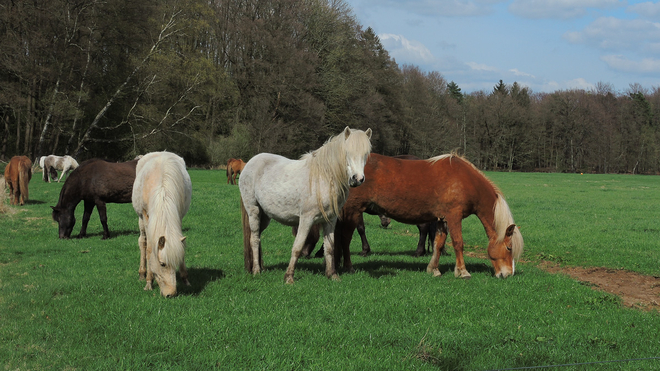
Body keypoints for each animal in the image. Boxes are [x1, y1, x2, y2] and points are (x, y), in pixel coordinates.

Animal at [132, 151, 192, 300]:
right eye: (162, 264)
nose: (171, 294)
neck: (162, 190)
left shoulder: (178, 215)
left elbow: (181, 245)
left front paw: (185, 279)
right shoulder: (146, 217)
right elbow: (149, 250)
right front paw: (149, 282)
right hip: (141, 220)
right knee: (142, 242)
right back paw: (142, 273)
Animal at [237, 126, 372, 284]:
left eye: (365, 154)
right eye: (347, 152)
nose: (357, 179)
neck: (323, 177)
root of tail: (249, 164)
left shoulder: (330, 221)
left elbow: (329, 247)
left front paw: (332, 275)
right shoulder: (306, 220)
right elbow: (298, 247)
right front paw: (289, 277)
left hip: (265, 217)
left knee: (258, 237)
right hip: (254, 211)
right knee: (254, 239)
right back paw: (257, 271)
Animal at [338, 153, 524, 280]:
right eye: (509, 248)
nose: (508, 274)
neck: (465, 180)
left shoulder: (442, 219)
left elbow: (439, 244)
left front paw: (433, 269)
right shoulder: (454, 216)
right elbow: (458, 243)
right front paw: (462, 271)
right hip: (353, 210)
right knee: (345, 238)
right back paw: (348, 267)